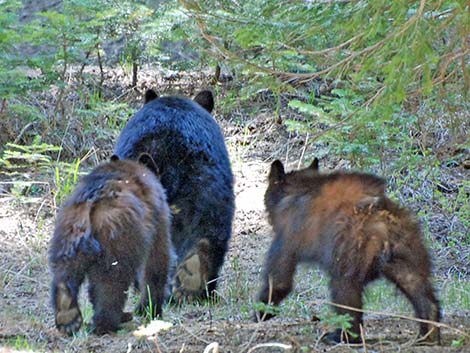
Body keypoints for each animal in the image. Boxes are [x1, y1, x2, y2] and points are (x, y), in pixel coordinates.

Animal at [48, 153, 173, 332]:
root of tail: (93, 199)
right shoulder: (159, 220)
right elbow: (156, 262)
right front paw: (150, 309)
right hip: (117, 236)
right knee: (111, 282)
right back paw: (109, 322)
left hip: (68, 233)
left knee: (65, 271)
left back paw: (68, 316)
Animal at [255, 159, 438, 344]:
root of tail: (382, 220)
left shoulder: (287, 236)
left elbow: (279, 280)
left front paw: (261, 312)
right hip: (407, 248)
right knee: (417, 285)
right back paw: (428, 332)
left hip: (350, 249)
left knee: (345, 290)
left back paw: (342, 336)